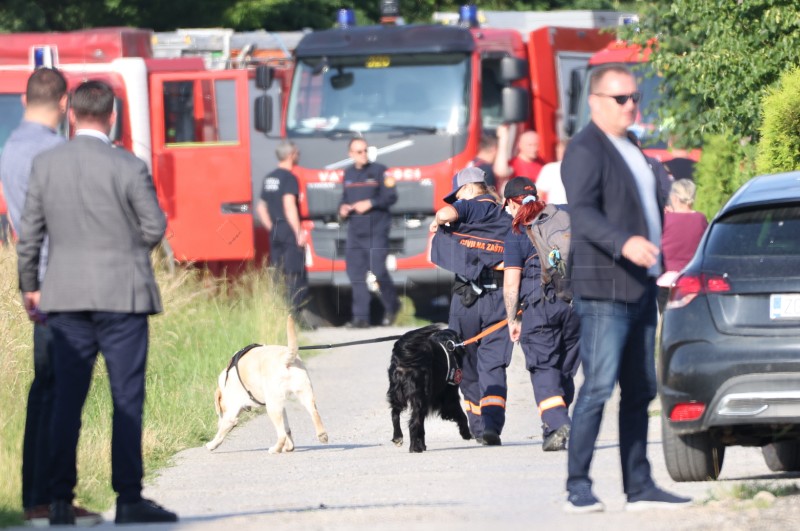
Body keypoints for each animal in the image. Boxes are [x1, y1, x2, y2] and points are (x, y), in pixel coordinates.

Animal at [209, 316, 332, 454]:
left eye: (220, 410)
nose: (217, 423)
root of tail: (285, 358)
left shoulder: (231, 413)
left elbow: (221, 433)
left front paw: (211, 444)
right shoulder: (281, 406)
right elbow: (287, 427)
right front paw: (290, 446)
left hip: (272, 406)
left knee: (281, 434)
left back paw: (275, 449)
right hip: (303, 394)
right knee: (313, 413)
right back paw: (321, 435)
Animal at [386, 324, 472, 454]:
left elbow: (421, 428)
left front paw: (422, 444)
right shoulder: (449, 398)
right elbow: (462, 415)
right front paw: (466, 433)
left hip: (398, 393)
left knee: (395, 414)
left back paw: (398, 437)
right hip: (420, 397)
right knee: (413, 423)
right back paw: (414, 448)